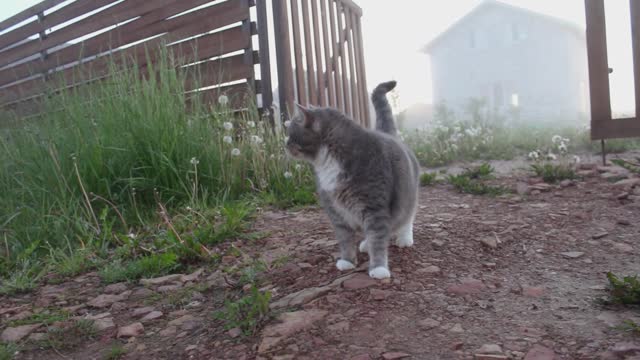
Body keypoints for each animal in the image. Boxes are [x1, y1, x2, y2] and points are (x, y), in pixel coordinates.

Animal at [286, 80, 420, 280]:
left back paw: (403, 238)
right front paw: (347, 261)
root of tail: (388, 134)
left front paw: (378, 268)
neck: (328, 161)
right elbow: (345, 239)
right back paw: (365, 244)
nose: (284, 144)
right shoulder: (336, 211)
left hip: (409, 195)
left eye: (290, 133)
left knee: (406, 217)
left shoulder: (375, 209)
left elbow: (378, 239)